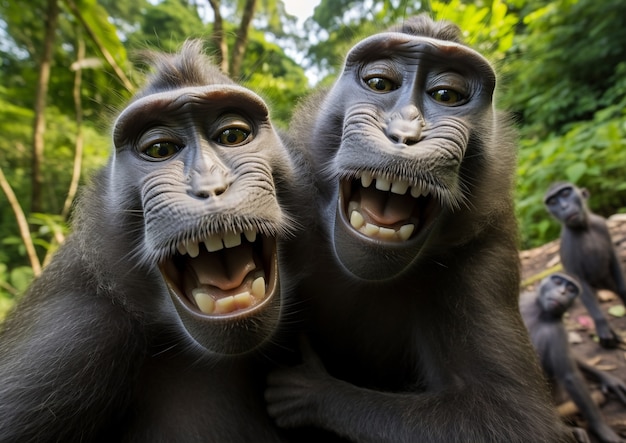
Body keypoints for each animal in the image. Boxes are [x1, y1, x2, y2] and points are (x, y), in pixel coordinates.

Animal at [264, 13, 576, 443]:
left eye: (446, 95)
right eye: (379, 83)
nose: (405, 133)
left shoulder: (486, 253)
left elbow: (514, 417)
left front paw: (316, 391)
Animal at [516, 272, 624, 443]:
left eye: (571, 289)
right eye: (557, 281)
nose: (562, 293)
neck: (540, 314)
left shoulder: (556, 332)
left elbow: (569, 376)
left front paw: (601, 428)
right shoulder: (524, 300)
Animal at [540, 182, 624, 348]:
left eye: (566, 193)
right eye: (553, 202)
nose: (564, 206)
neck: (584, 227)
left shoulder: (601, 224)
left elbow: (613, 260)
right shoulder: (568, 244)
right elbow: (578, 280)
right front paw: (602, 325)